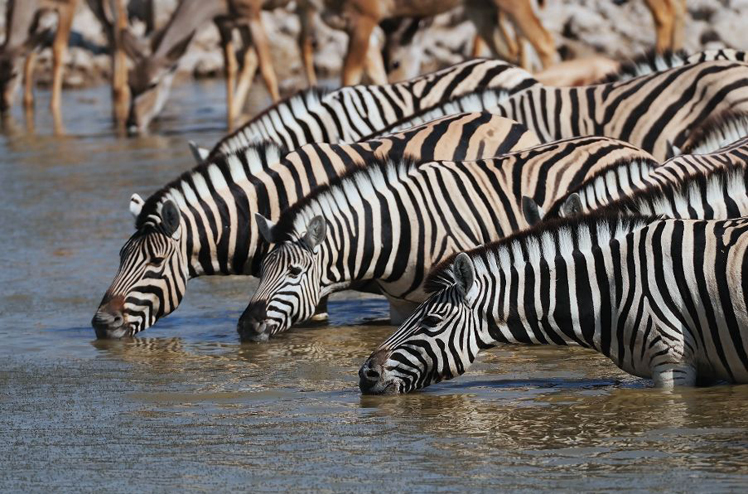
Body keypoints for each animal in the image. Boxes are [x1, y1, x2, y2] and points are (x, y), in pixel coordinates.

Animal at [92, 111, 536, 338]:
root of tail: (506, 119)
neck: (276, 200)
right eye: (120, 258)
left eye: (154, 264)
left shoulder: (312, 283)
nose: (100, 324)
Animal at [240, 137, 656, 342]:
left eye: (294, 272)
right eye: (260, 271)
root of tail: (630, 146)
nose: (245, 327)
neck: (399, 227)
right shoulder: (399, 305)